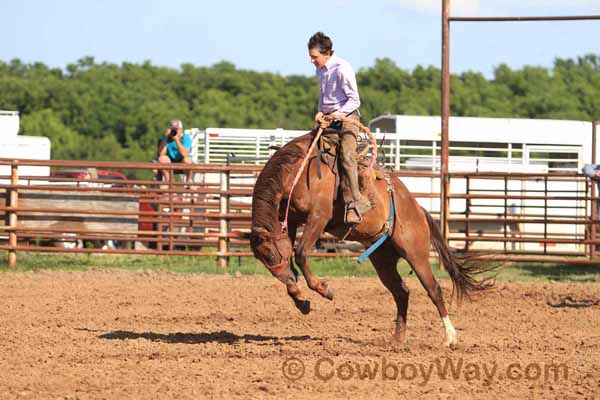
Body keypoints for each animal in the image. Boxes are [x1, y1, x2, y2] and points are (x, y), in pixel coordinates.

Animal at [248, 131, 492, 346]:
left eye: (270, 254)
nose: (288, 280)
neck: (297, 172)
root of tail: (419, 209)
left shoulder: (318, 216)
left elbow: (299, 254)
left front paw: (323, 289)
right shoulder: (289, 219)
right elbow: (291, 254)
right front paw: (300, 299)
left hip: (416, 254)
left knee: (434, 289)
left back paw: (450, 337)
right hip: (383, 259)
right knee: (401, 292)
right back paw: (397, 339)